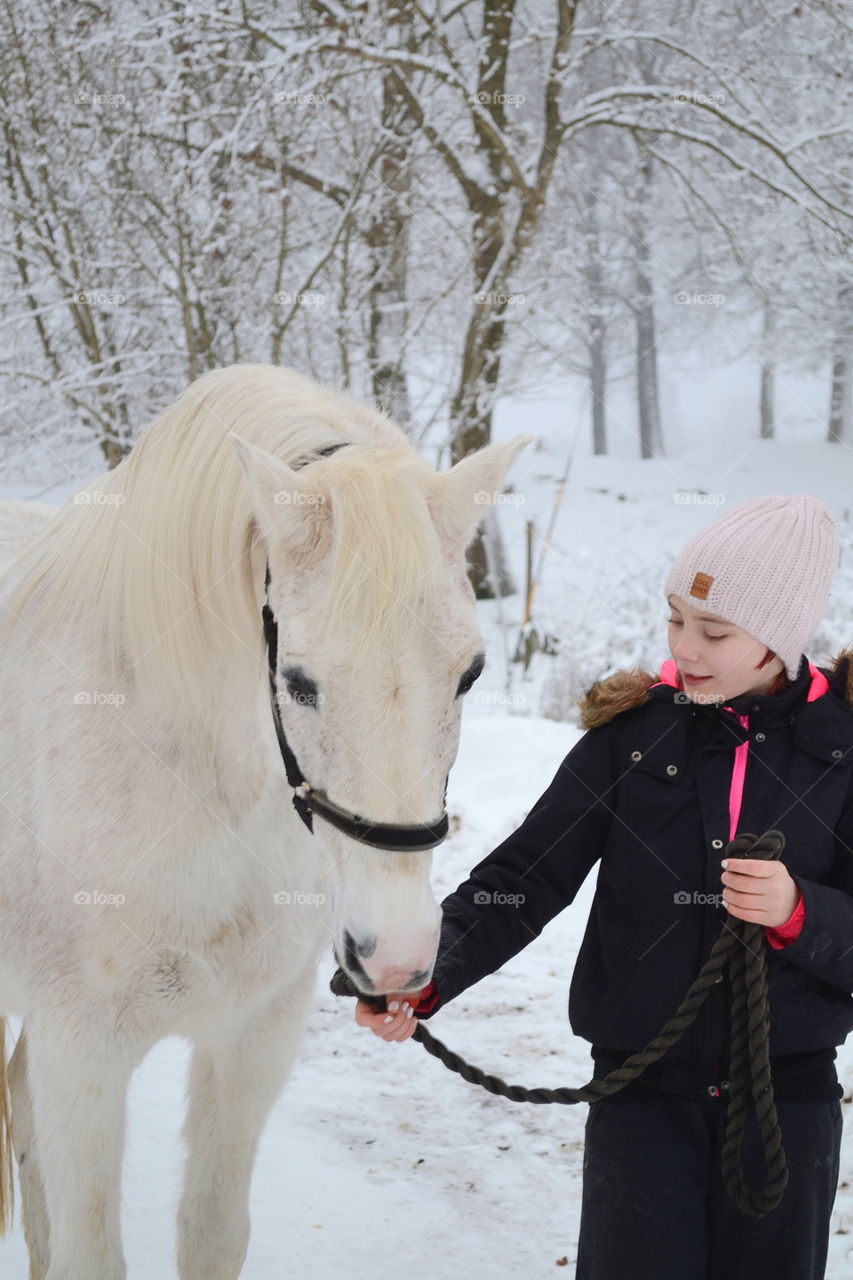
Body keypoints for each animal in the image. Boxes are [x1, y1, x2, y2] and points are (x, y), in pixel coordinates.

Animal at [0, 363, 532, 1280]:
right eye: (299, 681)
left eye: (469, 672)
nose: (396, 958)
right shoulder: (83, 1055)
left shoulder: (253, 1037)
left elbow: (212, 1230)